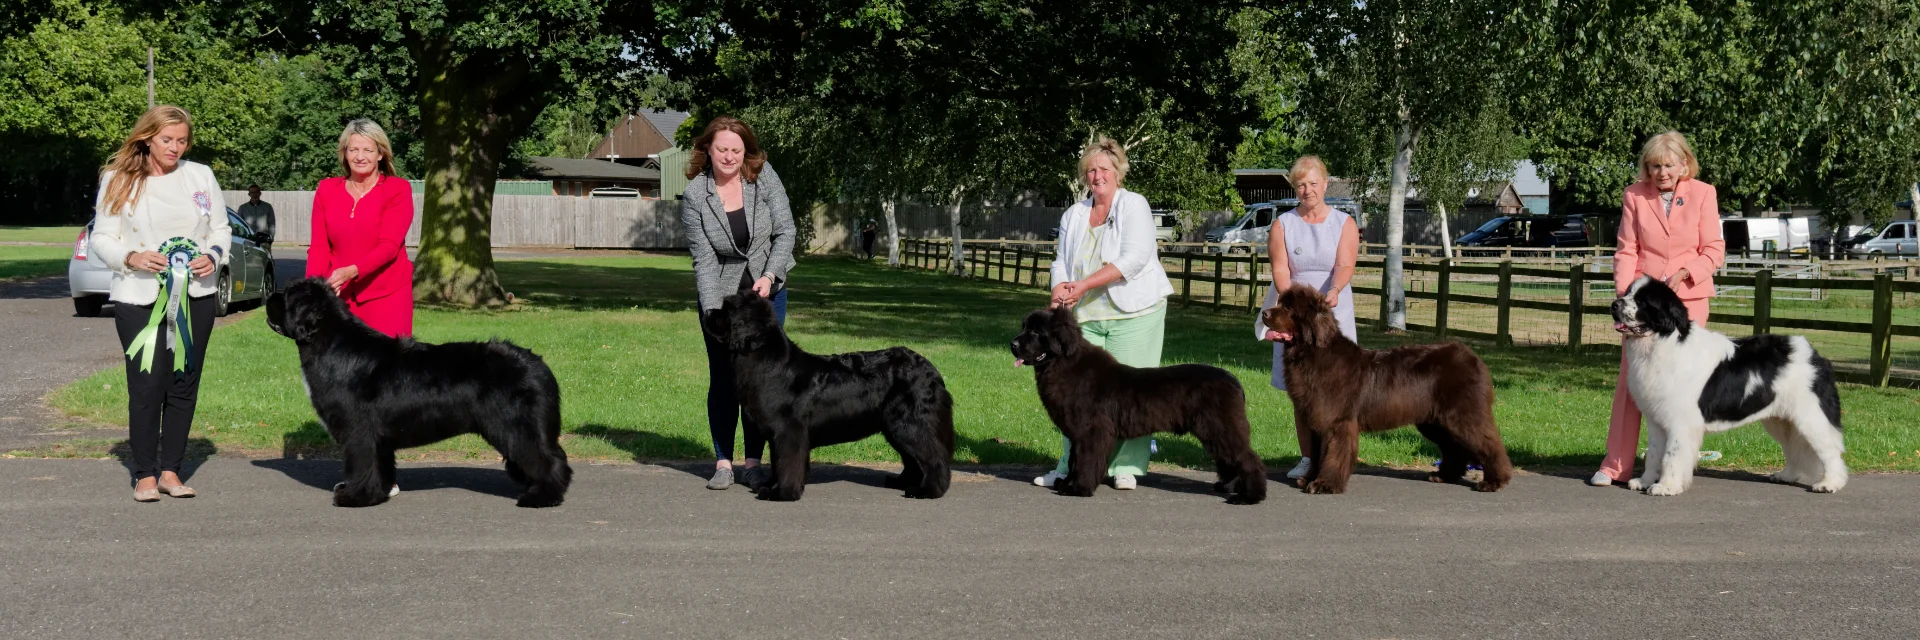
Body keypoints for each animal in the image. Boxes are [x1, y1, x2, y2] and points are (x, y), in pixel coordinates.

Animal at [266, 278, 572, 503]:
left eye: (288, 296)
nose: (269, 295)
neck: (331, 345)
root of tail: (538, 364)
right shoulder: (379, 438)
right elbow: (379, 466)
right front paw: (378, 493)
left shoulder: (359, 432)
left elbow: (361, 465)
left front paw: (354, 496)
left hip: (518, 427)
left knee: (548, 460)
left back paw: (542, 497)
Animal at [706, 286, 952, 499]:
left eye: (726, 311)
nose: (708, 312)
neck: (766, 358)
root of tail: (931, 370)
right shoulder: (777, 433)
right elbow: (777, 462)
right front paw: (769, 485)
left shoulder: (789, 431)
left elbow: (788, 463)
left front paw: (783, 493)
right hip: (894, 426)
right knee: (912, 459)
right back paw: (902, 482)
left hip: (909, 423)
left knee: (933, 458)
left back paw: (928, 490)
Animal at [1013, 305, 1267, 503]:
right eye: (1024, 327)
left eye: (1036, 331)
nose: (1012, 344)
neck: (1063, 364)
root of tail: (1233, 379)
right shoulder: (1078, 432)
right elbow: (1075, 459)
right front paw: (1066, 483)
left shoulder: (1091, 431)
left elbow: (1085, 460)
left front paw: (1078, 489)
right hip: (1215, 430)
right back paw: (1228, 487)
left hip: (1221, 427)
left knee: (1248, 458)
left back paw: (1250, 497)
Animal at [1259, 282, 1512, 490]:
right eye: (1279, 302)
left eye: (1289, 308)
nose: (1264, 312)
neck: (1311, 353)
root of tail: (1472, 357)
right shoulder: (1315, 417)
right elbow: (1317, 452)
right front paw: (1310, 478)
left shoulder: (1337, 420)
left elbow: (1333, 454)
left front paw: (1324, 484)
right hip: (1435, 421)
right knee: (1455, 448)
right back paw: (1444, 476)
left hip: (1462, 414)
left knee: (1488, 442)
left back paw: (1494, 481)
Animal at [1620, 274, 1843, 492]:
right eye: (1627, 293)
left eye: (1641, 302)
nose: (1615, 304)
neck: (1662, 343)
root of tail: (1815, 356)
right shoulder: (1656, 420)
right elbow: (1654, 454)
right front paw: (1644, 481)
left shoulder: (1680, 421)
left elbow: (1671, 455)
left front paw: (1666, 486)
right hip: (1781, 420)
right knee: (1792, 447)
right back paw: (1786, 476)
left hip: (1810, 416)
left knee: (1830, 449)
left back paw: (1830, 483)